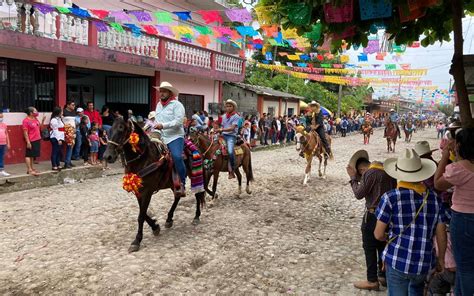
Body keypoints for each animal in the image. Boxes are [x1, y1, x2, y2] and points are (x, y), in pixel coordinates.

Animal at [104, 118, 205, 252]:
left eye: (121, 128)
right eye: (109, 130)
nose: (107, 156)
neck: (144, 158)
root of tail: (193, 143)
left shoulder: (147, 192)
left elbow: (141, 215)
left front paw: (137, 240)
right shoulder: (138, 191)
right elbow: (143, 213)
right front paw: (155, 227)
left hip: (195, 175)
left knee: (198, 195)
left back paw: (196, 217)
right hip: (173, 183)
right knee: (177, 197)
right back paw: (169, 219)